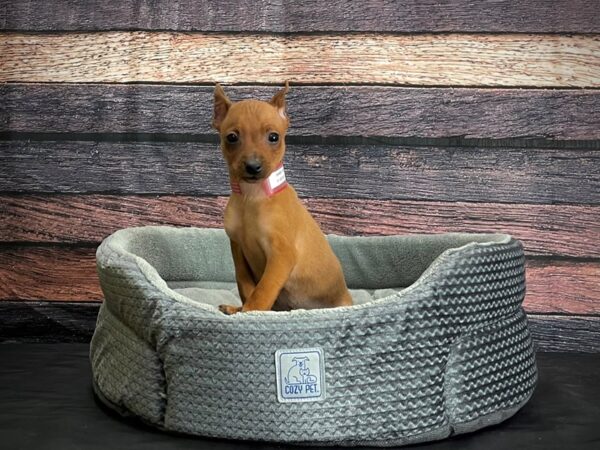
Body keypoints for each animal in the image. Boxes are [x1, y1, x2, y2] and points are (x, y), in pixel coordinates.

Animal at [212, 81, 352, 312]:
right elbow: (246, 285)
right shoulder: (238, 249)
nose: (253, 166)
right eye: (232, 137)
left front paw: (250, 312)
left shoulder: (281, 255)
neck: (252, 197)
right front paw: (241, 310)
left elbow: (263, 290)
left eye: (273, 137)